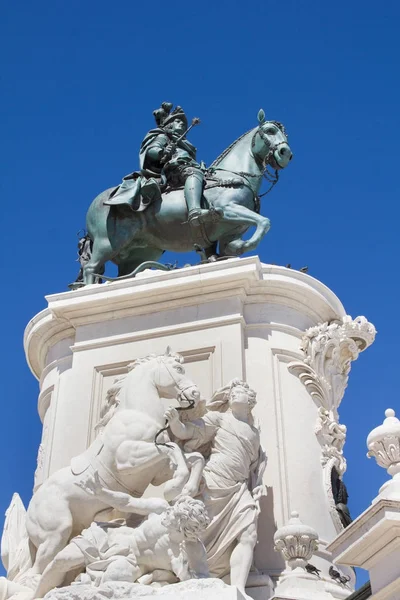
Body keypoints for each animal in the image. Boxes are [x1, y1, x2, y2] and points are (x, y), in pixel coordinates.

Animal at [83, 112, 290, 286]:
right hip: (107, 242)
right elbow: (264, 222)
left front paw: (234, 250)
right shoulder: (228, 209)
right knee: (91, 268)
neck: (233, 175)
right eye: (270, 131)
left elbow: (235, 242)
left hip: (139, 252)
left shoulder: (230, 233)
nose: (286, 153)